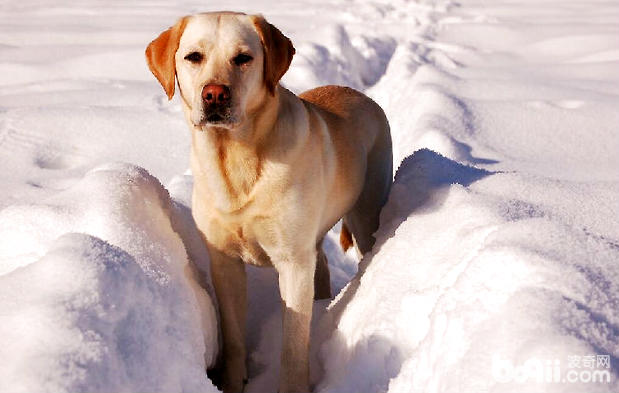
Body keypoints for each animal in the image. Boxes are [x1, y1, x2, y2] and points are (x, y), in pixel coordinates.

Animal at [145, 10, 392, 390]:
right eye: (193, 57)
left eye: (243, 58)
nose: (214, 95)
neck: (235, 158)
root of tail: (363, 96)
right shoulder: (224, 261)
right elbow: (233, 336)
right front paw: (233, 384)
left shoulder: (292, 262)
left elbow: (293, 345)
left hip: (366, 215)